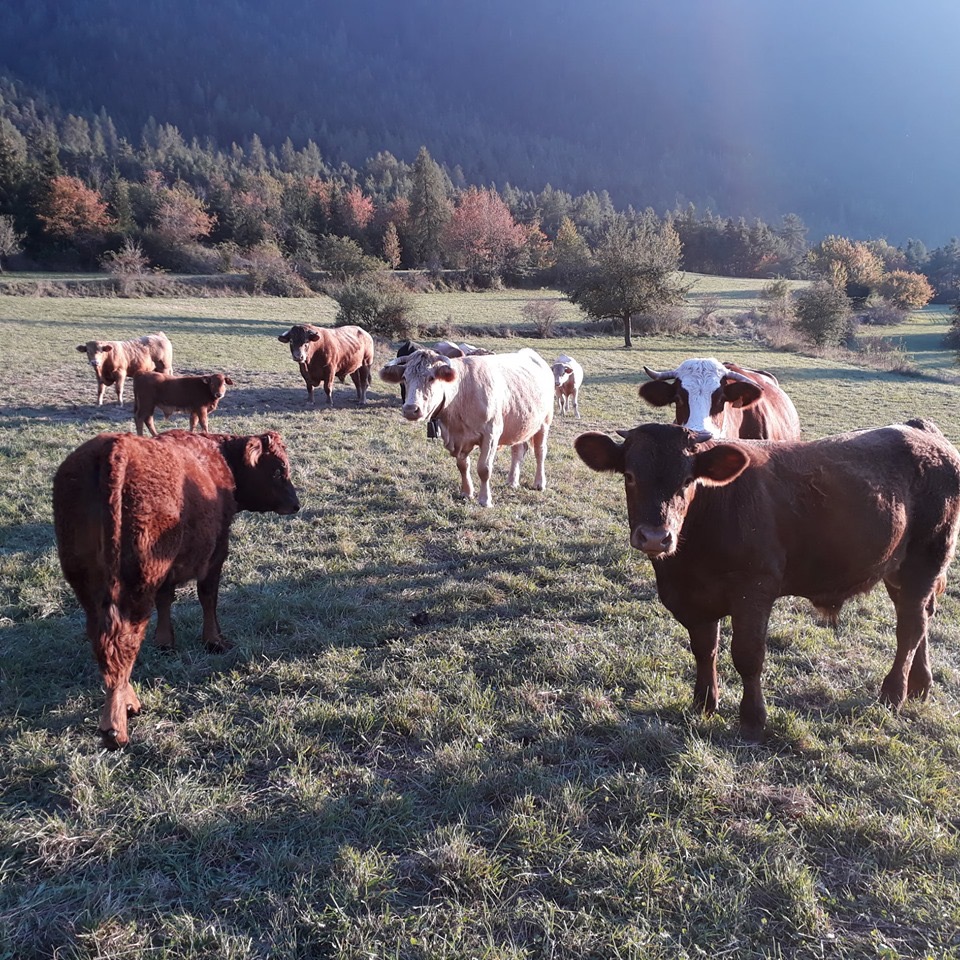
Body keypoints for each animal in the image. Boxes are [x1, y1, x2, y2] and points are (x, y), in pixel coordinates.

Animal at [53, 429, 301, 749]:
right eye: (279, 470)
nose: (296, 504)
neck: (218, 459)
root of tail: (114, 447)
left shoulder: (168, 572)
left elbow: (166, 600)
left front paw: (165, 641)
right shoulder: (216, 552)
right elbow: (208, 597)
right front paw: (213, 641)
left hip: (89, 586)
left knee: (103, 641)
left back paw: (126, 703)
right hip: (136, 585)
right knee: (122, 643)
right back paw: (115, 727)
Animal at [379, 347, 554, 507]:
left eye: (431, 378)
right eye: (404, 378)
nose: (410, 409)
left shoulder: (491, 434)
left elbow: (484, 469)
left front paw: (485, 499)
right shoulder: (457, 438)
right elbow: (463, 465)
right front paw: (466, 492)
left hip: (545, 422)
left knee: (540, 452)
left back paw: (539, 483)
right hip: (519, 423)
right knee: (518, 450)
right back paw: (512, 481)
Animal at [574, 419, 960, 739]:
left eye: (687, 480)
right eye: (629, 476)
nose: (656, 537)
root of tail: (921, 430)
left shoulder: (754, 588)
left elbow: (747, 654)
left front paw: (752, 719)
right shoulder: (693, 597)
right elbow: (704, 649)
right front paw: (704, 704)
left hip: (926, 558)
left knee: (910, 626)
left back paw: (892, 694)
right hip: (899, 569)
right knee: (921, 616)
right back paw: (920, 685)